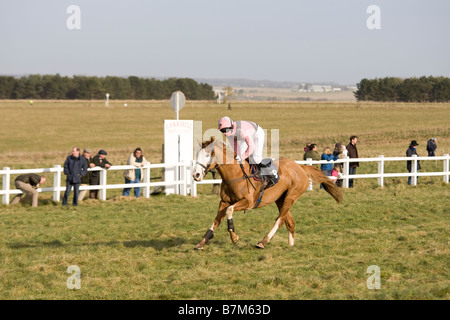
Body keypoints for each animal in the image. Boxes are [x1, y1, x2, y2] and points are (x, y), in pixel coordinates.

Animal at [192, 138, 342, 250]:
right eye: (197, 155)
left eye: (208, 155)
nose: (196, 175)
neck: (234, 175)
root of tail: (300, 167)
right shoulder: (224, 201)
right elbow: (216, 220)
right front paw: (202, 242)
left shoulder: (248, 202)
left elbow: (229, 210)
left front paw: (234, 236)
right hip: (280, 199)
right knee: (289, 222)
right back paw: (290, 245)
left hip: (291, 196)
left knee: (280, 219)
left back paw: (263, 242)